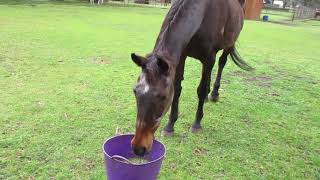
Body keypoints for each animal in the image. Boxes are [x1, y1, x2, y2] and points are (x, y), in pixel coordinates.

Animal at [129, 0, 252, 156]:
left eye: (163, 97)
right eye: (135, 91)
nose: (138, 148)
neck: (203, 12)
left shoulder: (208, 58)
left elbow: (200, 89)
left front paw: (197, 124)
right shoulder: (181, 57)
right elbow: (177, 89)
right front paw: (170, 126)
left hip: (229, 44)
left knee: (221, 63)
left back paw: (214, 94)